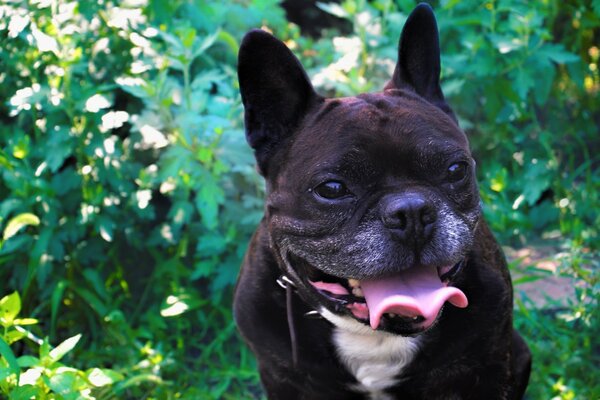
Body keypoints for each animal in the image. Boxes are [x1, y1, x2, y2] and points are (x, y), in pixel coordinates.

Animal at [233, 3, 528, 400]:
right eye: (332, 189)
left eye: (455, 169)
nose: (411, 211)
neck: (373, 337)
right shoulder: (282, 377)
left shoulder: (489, 366)